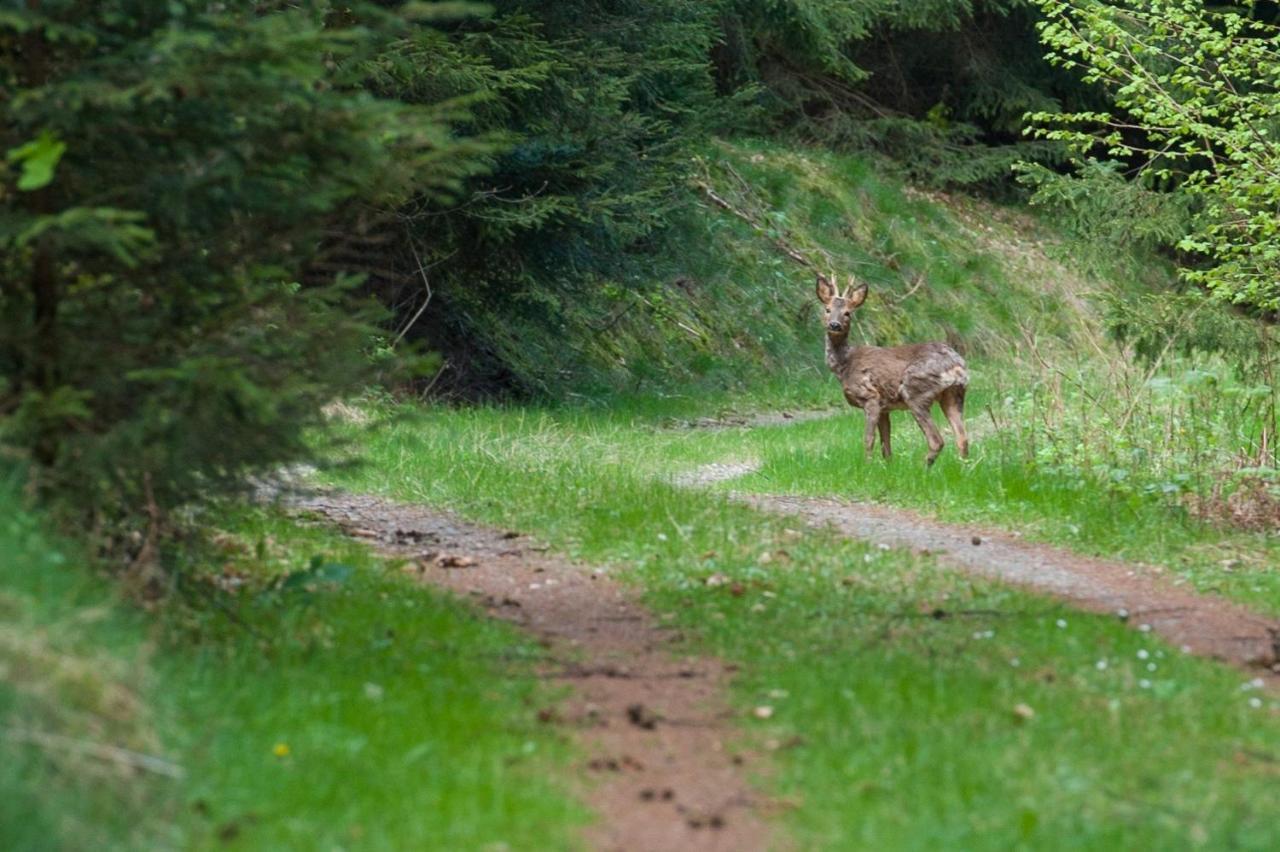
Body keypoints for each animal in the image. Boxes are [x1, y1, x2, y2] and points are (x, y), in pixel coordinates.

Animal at [819, 273, 967, 465]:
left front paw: (867, 465)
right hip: (954, 395)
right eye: (827, 309)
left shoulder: (871, 397)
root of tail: (956, 365)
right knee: (962, 438)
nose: (834, 325)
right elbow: (886, 444)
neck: (845, 365)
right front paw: (887, 466)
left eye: (847, 313)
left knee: (937, 440)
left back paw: (922, 467)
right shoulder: (885, 408)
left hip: (915, 391)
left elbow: (869, 439)